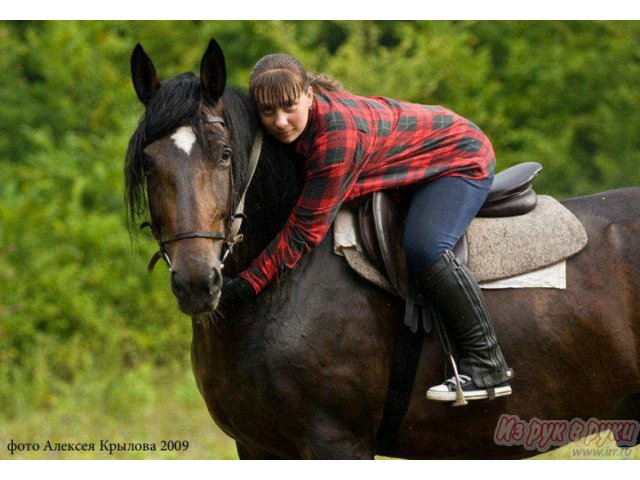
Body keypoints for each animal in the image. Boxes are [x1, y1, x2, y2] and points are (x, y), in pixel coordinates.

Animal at [125, 39, 640, 460]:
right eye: (148, 163)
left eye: (225, 154)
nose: (198, 283)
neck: (281, 290)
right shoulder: (256, 446)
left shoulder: (335, 441)